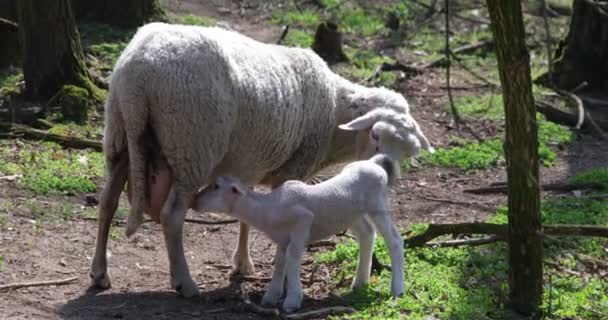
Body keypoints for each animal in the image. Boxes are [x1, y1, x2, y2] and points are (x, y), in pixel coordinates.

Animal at [195, 154, 404, 312]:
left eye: (216, 186)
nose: (194, 200)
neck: (267, 208)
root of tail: (374, 164)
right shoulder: (282, 238)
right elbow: (280, 262)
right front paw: (271, 296)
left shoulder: (302, 222)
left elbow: (292, 258)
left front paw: (293, 299)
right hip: (352, 214)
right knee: (367, 234)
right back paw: (360, 283)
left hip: (378, 205)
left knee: (394, 240)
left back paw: (397, 289)